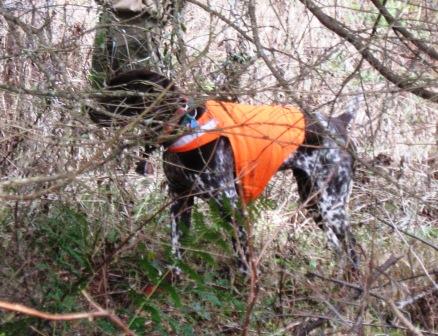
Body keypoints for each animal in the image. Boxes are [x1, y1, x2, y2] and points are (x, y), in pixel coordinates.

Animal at [89, 69, 360, 276]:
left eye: (119, 91)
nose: (87, 107)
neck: (184, 128)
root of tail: (338, 122)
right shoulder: (180, 200)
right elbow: (177, 245)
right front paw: (172, 278)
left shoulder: (231, 206)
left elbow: (242, 255)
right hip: (312, 202)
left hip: (331, 205)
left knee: (353, 247)